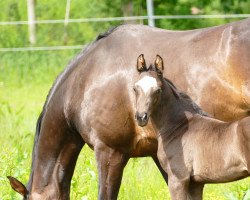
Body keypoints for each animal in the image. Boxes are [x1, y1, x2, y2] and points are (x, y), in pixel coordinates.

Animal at [134, 54, 250, 199]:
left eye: (157, 90)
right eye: (135, 88)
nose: (141, 117)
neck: (178, 127)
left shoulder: (177, 179)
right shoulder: (196, 183)